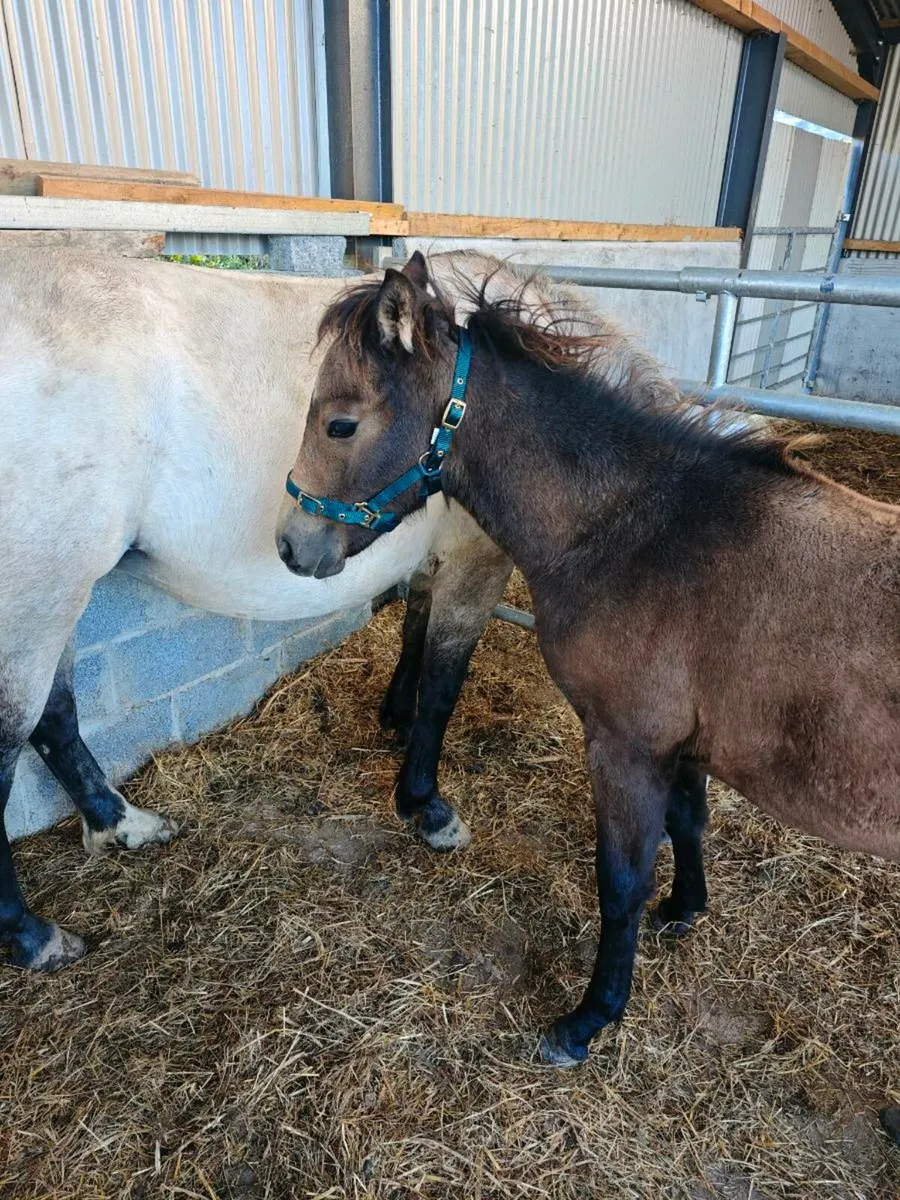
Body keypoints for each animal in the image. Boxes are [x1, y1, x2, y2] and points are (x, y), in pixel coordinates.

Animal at [0, 247, 678, 972]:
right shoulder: (478, 560)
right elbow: (445, 681)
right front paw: (425, 806)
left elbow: (414, 632)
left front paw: (395, 716)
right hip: (39, 605)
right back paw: (35, 935)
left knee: (56, 718)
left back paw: (120, 824)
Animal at [277, 252, 900, 1073]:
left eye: (341, 422)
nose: (291, 545)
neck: (641, 529)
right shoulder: (681, 743)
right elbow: (689, 823)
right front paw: (685, 909)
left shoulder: (624, 745)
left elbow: (621, 880)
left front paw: (588, 1019)